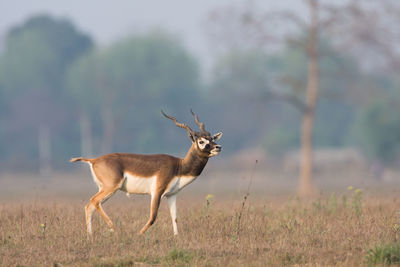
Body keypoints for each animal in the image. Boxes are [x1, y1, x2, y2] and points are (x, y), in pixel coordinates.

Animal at [71, 110, 222, 237]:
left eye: (213, 139)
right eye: (201, 141)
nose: (218, 147)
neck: (179, 166)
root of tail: (93, 160)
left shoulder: (172, 194)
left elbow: (174, 217)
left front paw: (176, 237)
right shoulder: (157, 192)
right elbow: (153, 217)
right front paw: (139, 234)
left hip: (105, 189)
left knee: (89, 206)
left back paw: (90, 235)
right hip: (111, 187)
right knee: (94, 201)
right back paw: (112, 227)